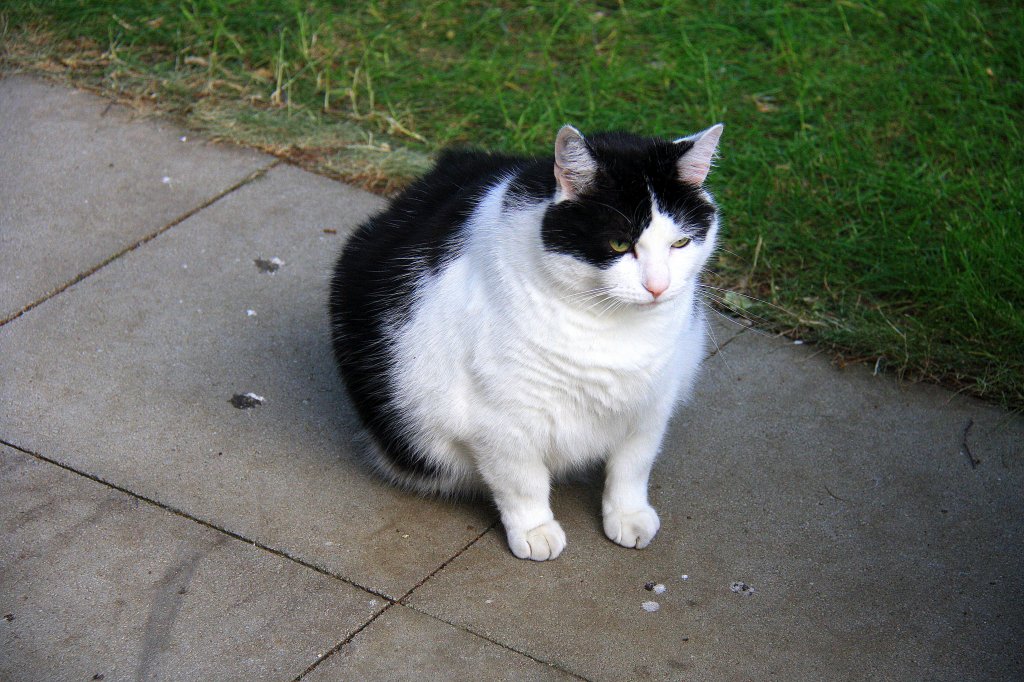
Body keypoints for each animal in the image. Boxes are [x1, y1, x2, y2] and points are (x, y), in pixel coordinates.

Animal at [325, 122, 720, 557]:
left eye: (680, 243)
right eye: (619, 243)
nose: (657, 286)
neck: (610, 326)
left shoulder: (653, 404)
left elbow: (633, 466)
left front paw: (628, 515)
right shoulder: (501, 420)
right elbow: (522, 480)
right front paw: (535, 531)